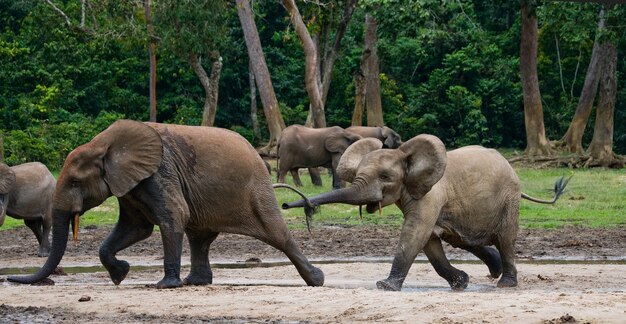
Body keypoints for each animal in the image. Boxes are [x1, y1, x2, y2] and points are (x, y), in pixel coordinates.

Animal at [7, 119, 324, 288]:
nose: (11, 279)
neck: (103, 144)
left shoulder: (160, 172)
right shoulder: (130, 184)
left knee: (277, 233)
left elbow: (173, 217)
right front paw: (120, 274)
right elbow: (135, 228)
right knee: (200, 238)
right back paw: (196, 283)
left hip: (256, 188)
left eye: (74, 183)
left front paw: (164, 286)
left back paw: (316, 279)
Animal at [282, 134, 564, 292]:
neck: (407, 158)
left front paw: (384, 287)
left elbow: (415, 234)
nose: (285, 206)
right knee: (462, 238)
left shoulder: (430, 196)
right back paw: (493, 271)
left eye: (385, 177)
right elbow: (429, 242)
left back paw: (506, 283)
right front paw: (461, 283)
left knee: (505, 238)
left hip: (509, 199)